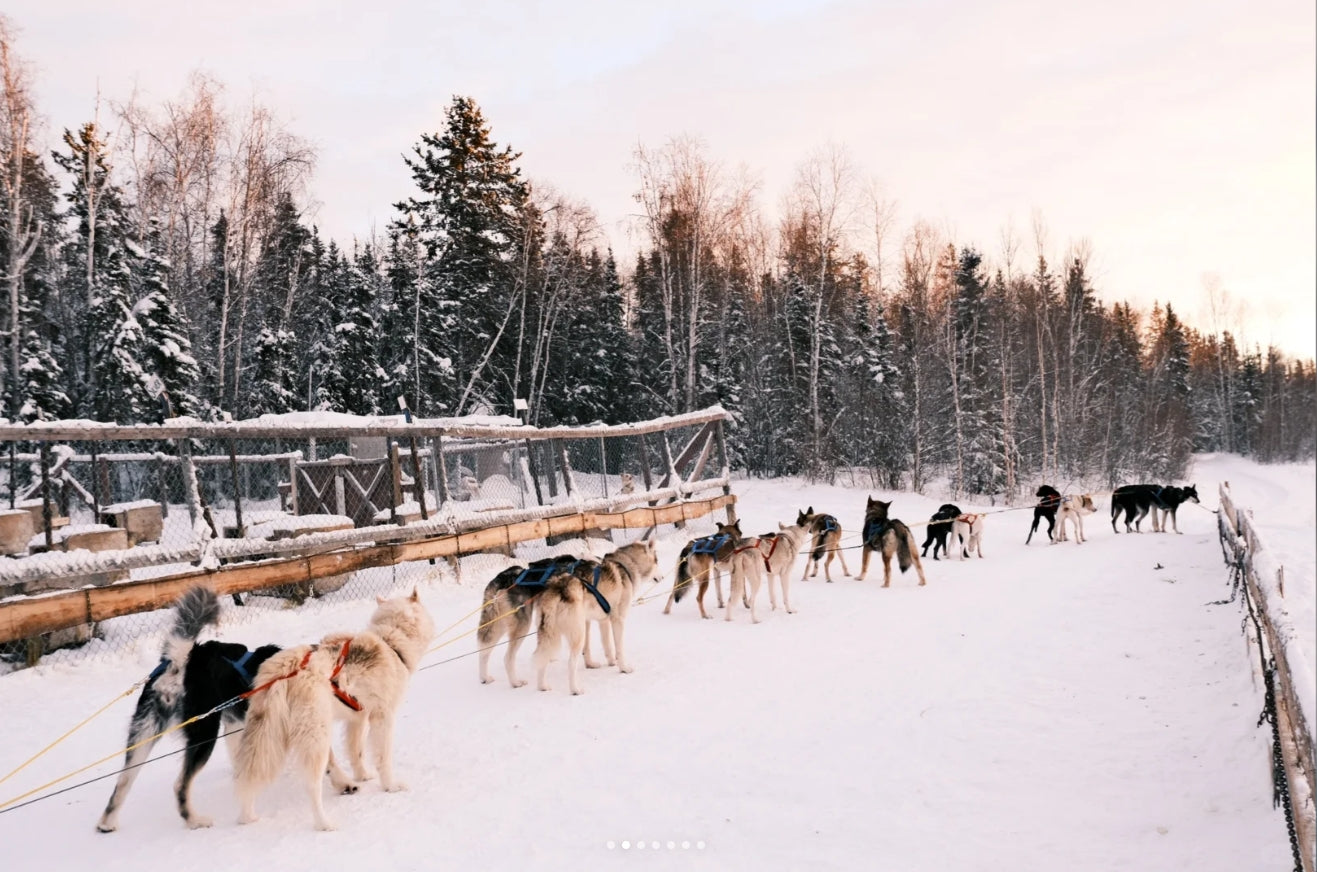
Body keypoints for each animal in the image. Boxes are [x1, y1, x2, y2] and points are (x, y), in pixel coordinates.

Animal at [98, 587, 281, 832]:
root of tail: (180, 661)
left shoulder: (235, 725)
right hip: (204, 734)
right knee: (180, 785)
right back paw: (194, 820)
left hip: (143, 734)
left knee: (123, 781)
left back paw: (107, 823)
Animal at [234, 587, 434, 832]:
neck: (389, 641)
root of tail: (285, 669)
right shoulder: (382, 718)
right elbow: (383, 758)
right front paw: (390, 786)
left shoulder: (358, 718)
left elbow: (356, 752)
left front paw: (362, 775)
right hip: (316, 737)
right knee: (312, 786)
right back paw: (324, 823)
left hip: (271, 736)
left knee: (252, 773)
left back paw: (247, 815)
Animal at [479, 553, 587, 690]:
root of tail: (503, 578)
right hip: (523, 626)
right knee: (508, 658)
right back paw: (515, 682)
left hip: (498, 625)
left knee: (484, 651)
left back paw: (485, 678)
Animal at [532, 540, 658, 695]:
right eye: (657, 560)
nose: (662, 577)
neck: (625, 564)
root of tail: (559, 588)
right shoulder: (618, 620)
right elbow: (619, 648)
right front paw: (623, 668)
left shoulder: (602, 620)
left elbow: (607, 645)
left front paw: (611, 662)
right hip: (577, 635)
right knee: (571, 663)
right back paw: (575, 689)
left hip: (549, 636)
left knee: (543, 659)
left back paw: (542, 686)